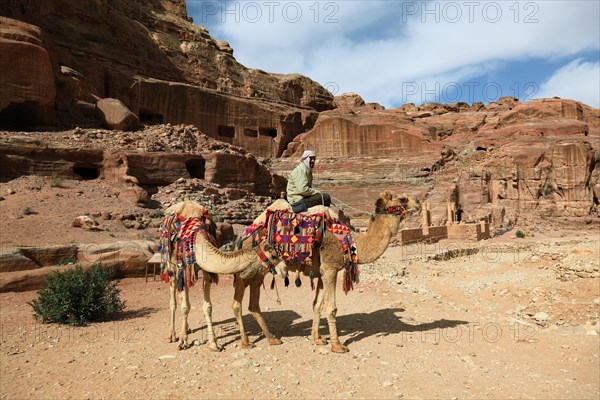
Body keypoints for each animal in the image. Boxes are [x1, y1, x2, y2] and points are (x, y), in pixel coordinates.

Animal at [161, 202, 288, 348]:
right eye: (273, 256)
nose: (284, 268)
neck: (196, 239)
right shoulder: (183, 265)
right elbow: (185, 306)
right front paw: (183, 340)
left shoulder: (206, 270)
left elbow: (207, 306)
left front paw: (213, 343)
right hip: (171, 263)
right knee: (174, 298)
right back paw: (173, 335)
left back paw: (187, 328)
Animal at [237, 191, 420, 354]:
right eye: (402, 199)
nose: (418, 202)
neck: (353, 242)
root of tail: (244, 235)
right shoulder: (330, 268)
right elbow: (331, 308)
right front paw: (337, 345)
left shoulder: (321, 272)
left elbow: (317, 305)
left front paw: (317, 339)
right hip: (248, 268)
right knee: (238, 303)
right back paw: (247, 342)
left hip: (258, 272)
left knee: (252, 304)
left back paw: (271, 339)